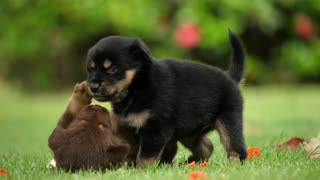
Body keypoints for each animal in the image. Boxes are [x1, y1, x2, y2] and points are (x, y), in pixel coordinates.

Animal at [85, 30, 248, 167]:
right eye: (91, 69)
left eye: (112, 69)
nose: (93, 86)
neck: (137, 87)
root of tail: (230, 77)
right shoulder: (127, 128)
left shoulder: (156, 128)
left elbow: (145, 156)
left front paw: (142, 171)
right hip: (189, 131)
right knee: (207, 146)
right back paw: (190, 162)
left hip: (229, 121)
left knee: (236, 149)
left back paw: (233, 165)